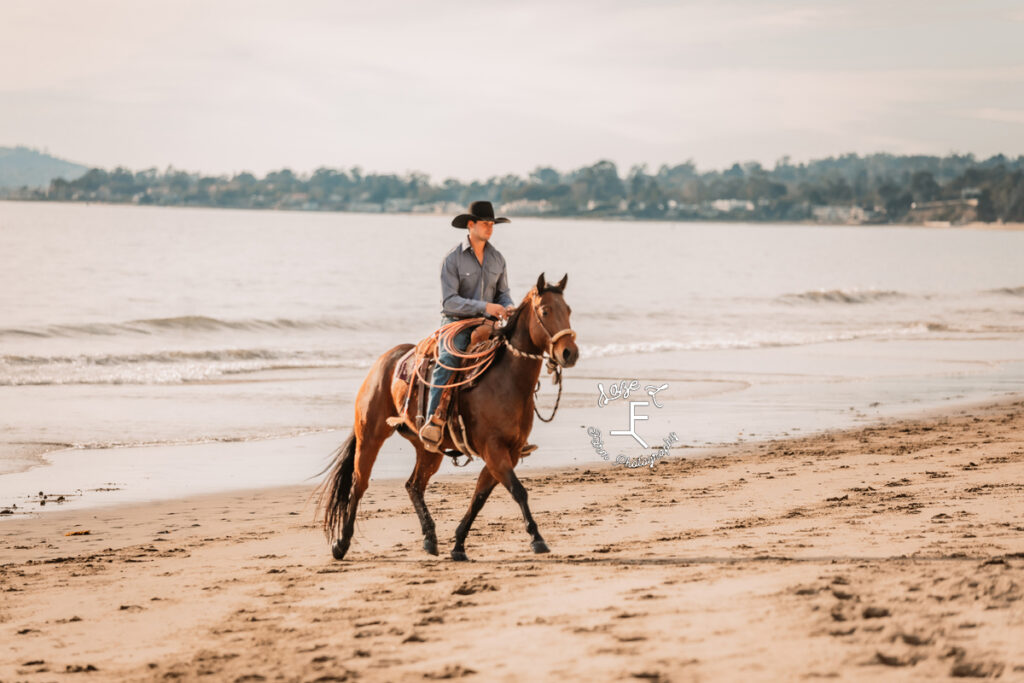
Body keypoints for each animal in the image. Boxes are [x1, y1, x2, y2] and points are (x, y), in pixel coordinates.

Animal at [315, 272, 581, 561]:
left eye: (568, 310)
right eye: (545, 310)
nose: (569, 353)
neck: (507, 381)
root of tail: (385, 361)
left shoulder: (508, 453)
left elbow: (479, 498)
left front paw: (458, 545)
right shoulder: (494, 450)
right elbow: (518, 491)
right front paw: (537, 538)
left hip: (429, 449)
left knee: (414, 486)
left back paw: (430, 539)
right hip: (370, 437)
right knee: (358, 485)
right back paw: (341, 543)